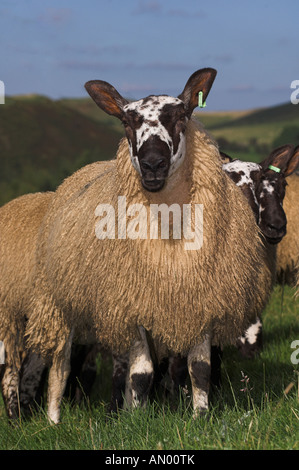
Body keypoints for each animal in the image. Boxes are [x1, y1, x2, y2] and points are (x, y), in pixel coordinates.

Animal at [25, 68, 274, 424]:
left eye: (181, 116)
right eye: (126, 122)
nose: (153, 163)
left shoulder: (200, 299)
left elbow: (199, 369)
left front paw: (200, 416)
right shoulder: (134, 303)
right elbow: (142, 374)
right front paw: (137, 421)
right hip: (59, 300)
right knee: (61, 364)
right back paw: (54, 420)